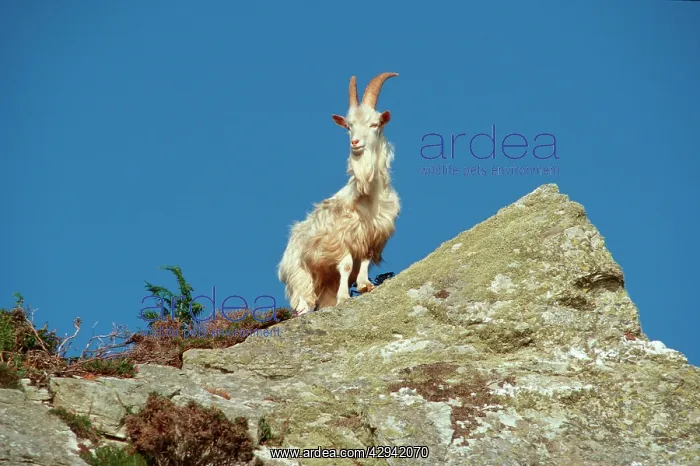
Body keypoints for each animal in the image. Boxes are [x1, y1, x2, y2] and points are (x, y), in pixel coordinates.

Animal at [277, 72, 401, 316]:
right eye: (349, 126)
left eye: (374, 123)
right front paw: (344, 297)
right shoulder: (341, 238)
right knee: (303, 300)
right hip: (300, 277)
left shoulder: (370, 237)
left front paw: (365, 285)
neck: (367, 196)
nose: (355, 143)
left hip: (324, 284)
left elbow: (364, 261)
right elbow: (345, 265)